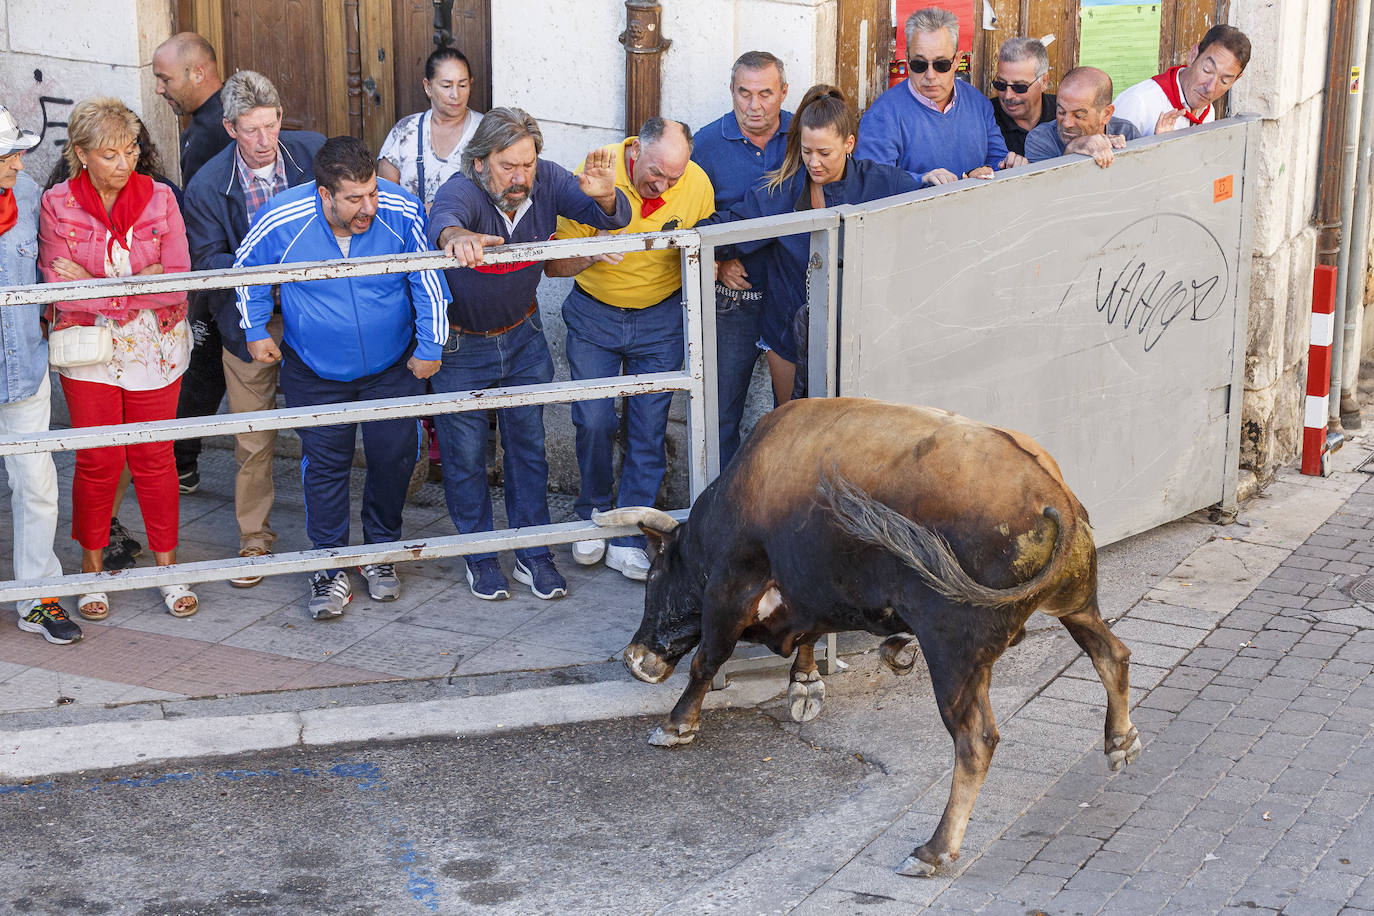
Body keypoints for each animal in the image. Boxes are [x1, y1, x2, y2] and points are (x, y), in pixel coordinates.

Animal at [596, 398, 1143, 878]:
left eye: (653, 576)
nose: (635, 657)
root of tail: (1057, 498)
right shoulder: (811, 587)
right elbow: (812, 633)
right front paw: (805, 683)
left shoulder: (731, 589)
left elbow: (706, 660)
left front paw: (675, 725)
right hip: (1077, 604)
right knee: (1112, 654)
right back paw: (1120, 740)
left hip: (953, 654)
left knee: (976, 741)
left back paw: (933, 850)